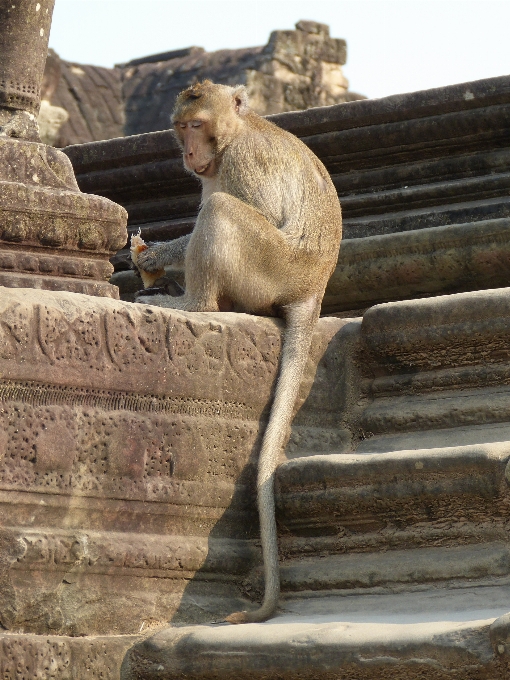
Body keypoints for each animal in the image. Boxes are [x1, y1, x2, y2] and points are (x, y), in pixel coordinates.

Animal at [134, 78, 342, 620]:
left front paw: (156, 255)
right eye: (180, 128)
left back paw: (194, 303)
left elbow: (244, 208)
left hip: (272, 267)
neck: (235, 134)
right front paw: (149, 258)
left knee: (223, 210)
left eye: (197, 124)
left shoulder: (243, 163)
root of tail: (312, 288)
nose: (189, 153)